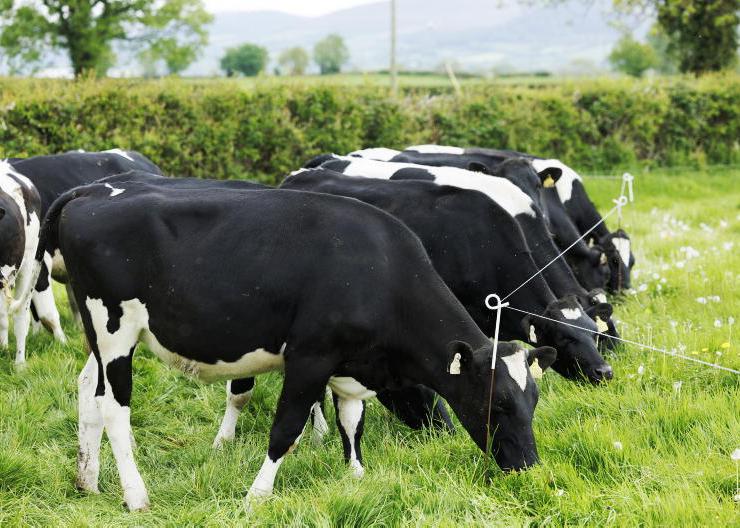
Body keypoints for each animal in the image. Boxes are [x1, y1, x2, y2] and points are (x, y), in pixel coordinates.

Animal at [40, 180, 557, 510]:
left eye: (532, 402)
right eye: (498, 402)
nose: (529, 468)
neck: (379, 270)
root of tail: (95, 190)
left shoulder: (348, 366)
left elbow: (352, 422)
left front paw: (357, 477)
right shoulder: (310, 357)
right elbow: (286, 429)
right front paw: (257, 496)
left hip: (99, 336)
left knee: (87, 390)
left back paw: (87, 481)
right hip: (115, 329)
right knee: (114, 408)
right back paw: (136, 496)